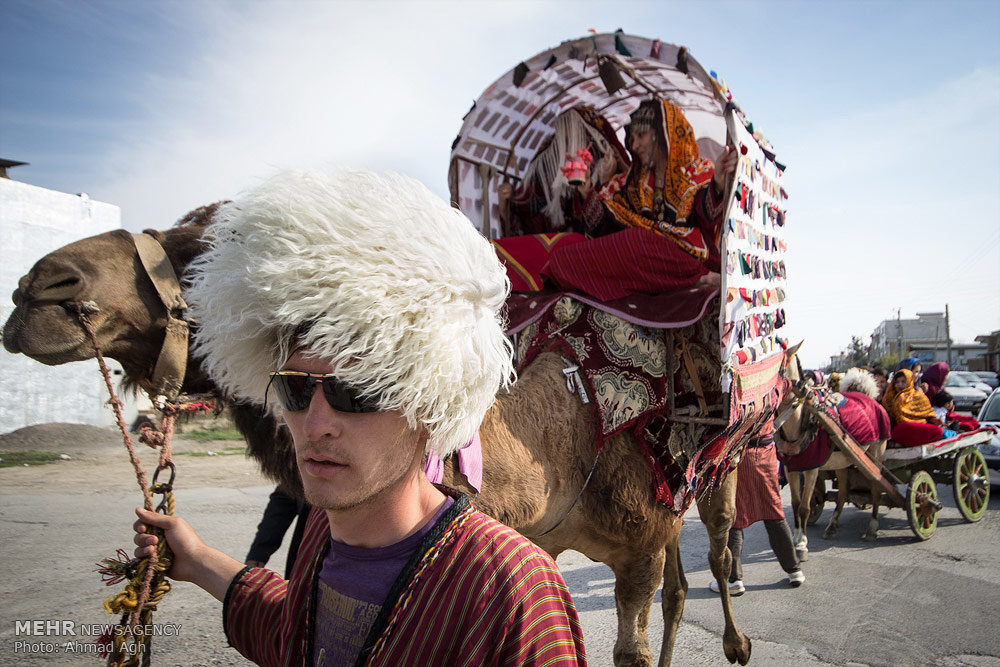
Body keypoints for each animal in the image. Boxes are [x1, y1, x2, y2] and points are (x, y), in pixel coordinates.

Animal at [772, 344, 892, 560]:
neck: (800, 422)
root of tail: (869, 395)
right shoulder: (790, 468)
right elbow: (795, 503)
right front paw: (796, 537)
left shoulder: (811, 469)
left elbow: (804, 507)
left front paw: (802, 545)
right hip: (844, 460)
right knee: (843, 493)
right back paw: (832, 526)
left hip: (876, 454)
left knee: (876, 488)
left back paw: (872, 528)